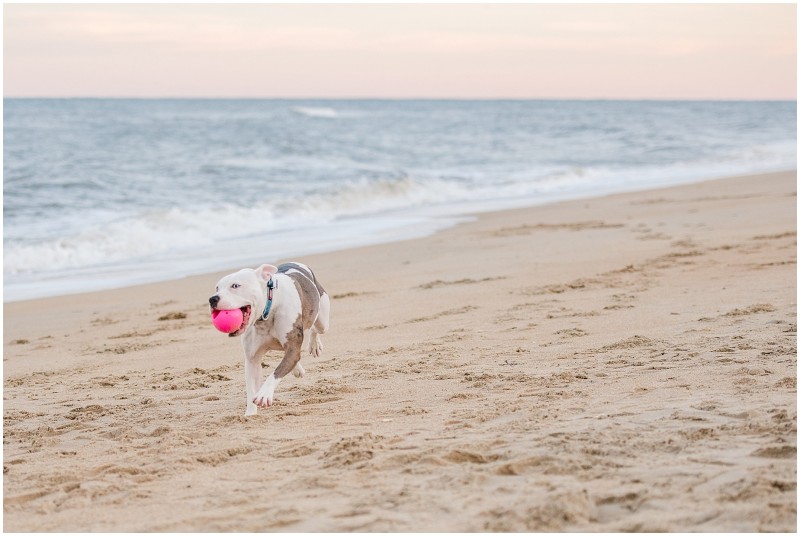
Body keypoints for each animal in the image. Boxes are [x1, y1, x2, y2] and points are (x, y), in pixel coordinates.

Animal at [209, 262, 332, 416]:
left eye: (235, 286)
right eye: (217, 288)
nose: (212, 299)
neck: (268, 310)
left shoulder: (292, 346)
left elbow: (276, 372)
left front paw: (264, 394)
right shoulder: (252, 359)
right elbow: (251, 389)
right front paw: (250, 414)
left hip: (322, 319)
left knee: (316, 329)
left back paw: (315, 345)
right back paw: (297, 369)